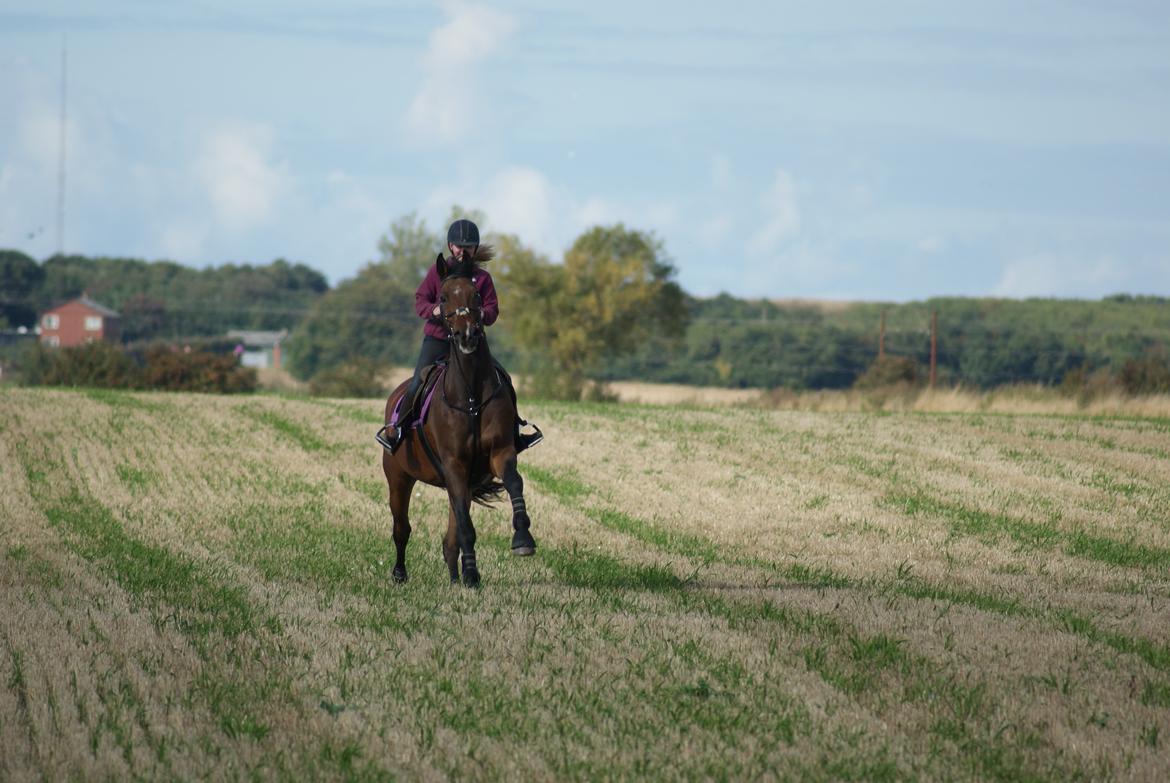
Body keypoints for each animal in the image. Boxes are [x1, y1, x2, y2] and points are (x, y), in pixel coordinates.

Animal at [379, 250, 535, 585]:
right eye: (442, 296)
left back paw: (456, 576)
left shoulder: (500, 453)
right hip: (398, 477)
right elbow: (465, 525)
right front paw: (472, 575)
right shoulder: (454, 464)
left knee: (450, 535)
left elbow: (514, 484)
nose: (467, 335)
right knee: (402, 528)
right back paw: (400, 573)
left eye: (476, 294)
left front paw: (522, 540)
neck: (471, 396)